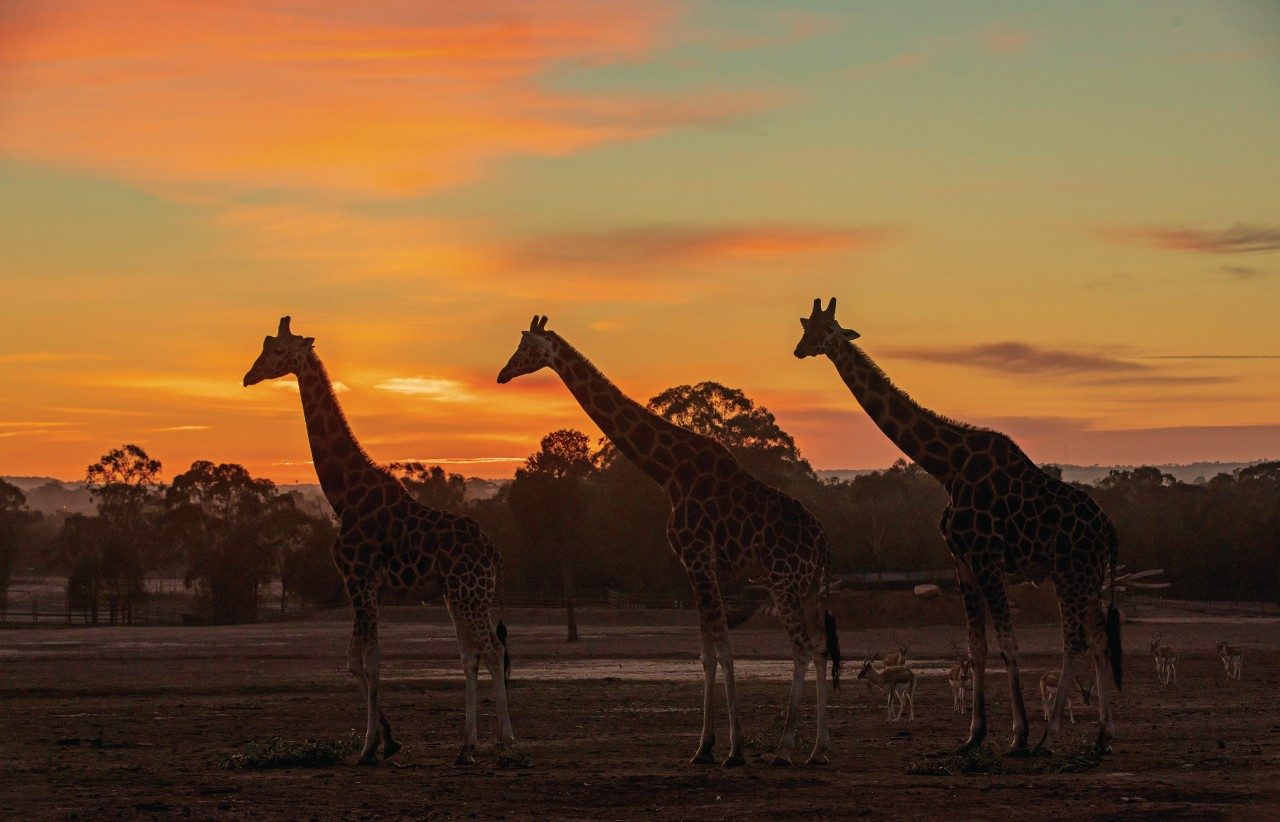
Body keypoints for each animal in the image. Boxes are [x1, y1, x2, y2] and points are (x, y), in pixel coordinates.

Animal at [244, 317, 514, 763]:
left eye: (279, 351)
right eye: (264, 346)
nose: (249, 376)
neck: (344, 497)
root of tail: (493, 551)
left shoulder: (360, 579)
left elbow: (370, 662)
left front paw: (369, 747)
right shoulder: (361, 584)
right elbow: (354, 661)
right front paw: (388, 740)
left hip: (469, 592)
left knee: (491, 649)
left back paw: (507, 743)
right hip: (457, 593)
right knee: (470, 654)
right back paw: (466, 747)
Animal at [496, 317, 839, 763]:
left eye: (526, 347)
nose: (503, 374)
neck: (668, 471)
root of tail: (823, 543)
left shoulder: (698, 557)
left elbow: (723, 648)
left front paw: (733, 749)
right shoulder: (695, 565)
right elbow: (706, 653)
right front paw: (704, 746)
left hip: (783, 582)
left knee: (801, 647)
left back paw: (784, 748)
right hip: (809, 586)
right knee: (819, 647)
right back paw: (819, 748)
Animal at [793, 297, 1116, 752]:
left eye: (825, 329)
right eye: (805, 325)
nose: (799, 350)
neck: (948, 468)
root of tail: (1109, 530)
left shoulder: (987, 558)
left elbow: (1009, 646)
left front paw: (1018, 735)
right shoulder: (962, 562)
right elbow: (976, 648)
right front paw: (974, 734)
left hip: (1074, 571)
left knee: (1076, 641)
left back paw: (1047, 736)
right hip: (1084, 575)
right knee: (1099, 640)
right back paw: (1102, 736)